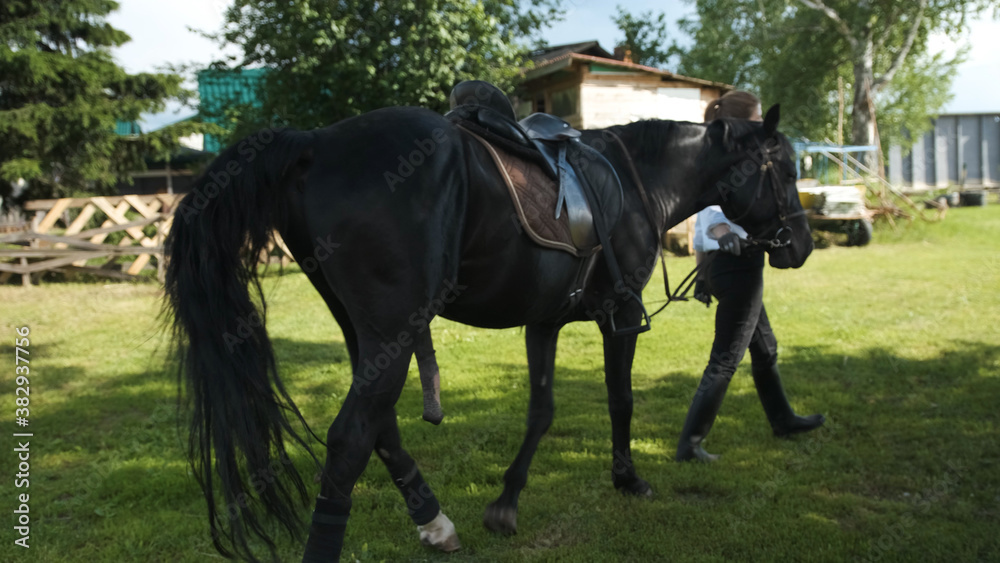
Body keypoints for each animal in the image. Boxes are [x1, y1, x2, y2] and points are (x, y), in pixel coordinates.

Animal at [163, 103, 812, 562]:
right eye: (784, 169)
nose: (802, 245)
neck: (637, 181)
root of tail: (315, 143)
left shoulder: (545, 321)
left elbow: (542, 410)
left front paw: (506, 501)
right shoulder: (619, 316)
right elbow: (620, 400)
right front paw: (627, 478)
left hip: (365, 331)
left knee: (378, 426)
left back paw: (434, 522)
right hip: (393, 331)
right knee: (351, 437)